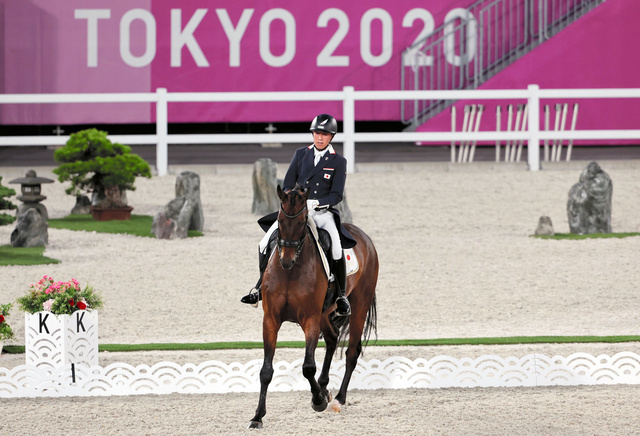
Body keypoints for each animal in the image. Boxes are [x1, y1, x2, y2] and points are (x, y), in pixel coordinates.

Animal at [248, 184, 378, 430]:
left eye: (302, 222)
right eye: (279, 221)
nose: (286, 260)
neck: (290, 273)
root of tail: (364, 237)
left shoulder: (309, 319)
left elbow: (308, 366)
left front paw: (318, 401)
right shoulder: (271, 320)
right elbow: (266, 370)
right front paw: (257, 416)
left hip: (359, 305)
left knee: (351, 352)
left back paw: (337, 399)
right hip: (325, 314)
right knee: (333, 338)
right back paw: (325, 388)